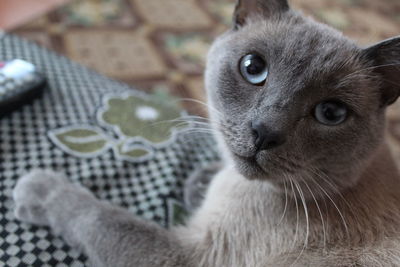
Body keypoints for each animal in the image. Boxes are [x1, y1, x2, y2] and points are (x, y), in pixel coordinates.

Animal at [10, 0, 400, 266]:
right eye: (253, 68)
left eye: (331, 113)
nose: (264, 132)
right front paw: (198, 181)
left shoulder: (188, 255)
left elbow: (99, 217)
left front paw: (37, 187)